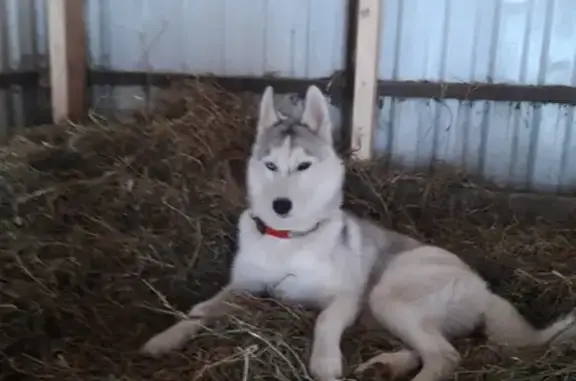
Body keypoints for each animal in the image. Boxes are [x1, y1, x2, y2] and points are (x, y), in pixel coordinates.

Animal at [140, 84, 576, 378]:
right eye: (270, 165)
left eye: (303, 166)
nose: (282, 206)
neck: (288, 240)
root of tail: (483, 288)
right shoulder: (243, 288)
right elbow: (200, 311)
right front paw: (166, 337)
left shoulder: (346, 298)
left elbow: (325, 321)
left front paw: (325, 361)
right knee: (428, 348)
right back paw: (386, 365)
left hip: (387, 293)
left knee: (444, 356)